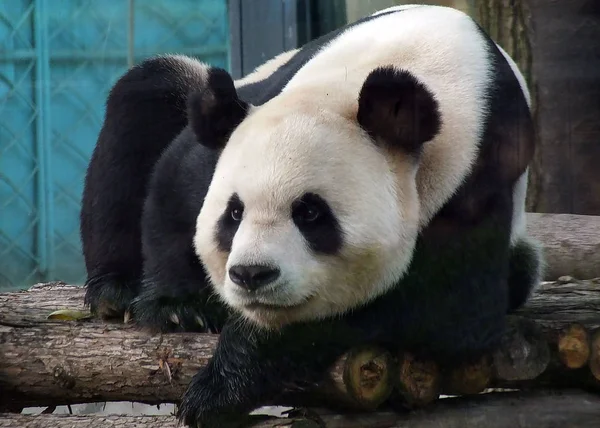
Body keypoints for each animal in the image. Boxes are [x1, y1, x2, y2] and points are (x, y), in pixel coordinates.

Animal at [79, 4, 544, 428]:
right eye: (234, 213)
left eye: (310, 213)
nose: (251, 275)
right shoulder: (253, 112)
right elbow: (176, 180)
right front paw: (179, 308)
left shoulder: (476, 178)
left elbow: (446, 305)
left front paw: (223, 385)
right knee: (147, 94)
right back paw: (115, 291)